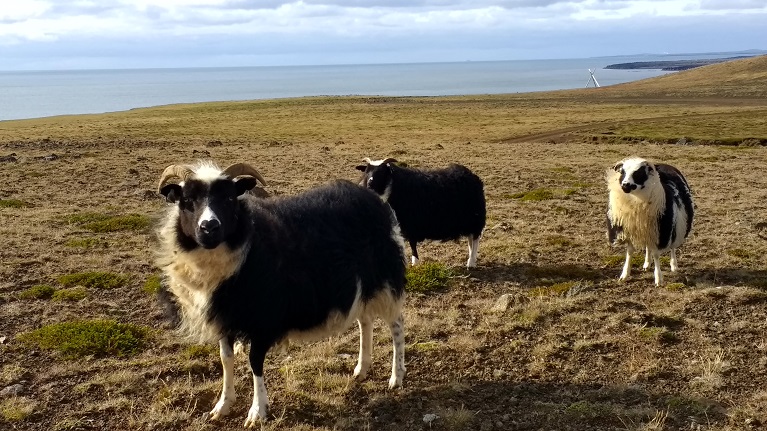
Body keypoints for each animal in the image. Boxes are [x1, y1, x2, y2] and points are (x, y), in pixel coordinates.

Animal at [155, 162, 408, 428]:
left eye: (230, 197)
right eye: (186, 200)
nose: (209, 228)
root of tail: (375, 200)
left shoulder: (264, 320)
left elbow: (255, 362)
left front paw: (257, 412)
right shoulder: (224, 319)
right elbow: (226, 359)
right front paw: (222, 405)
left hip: (386, 282)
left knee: (396, 325)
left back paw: (396, 377)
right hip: (362, 287)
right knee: (365, 321)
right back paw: (361, 368)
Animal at [356, 157, 486, 268]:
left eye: (382, 172)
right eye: (366, 171)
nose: (369, 184)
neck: (393, 187)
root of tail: (472, 176)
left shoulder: (411, 225)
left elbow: (413, 244)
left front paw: (415, 263)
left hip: (475, 219)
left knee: (475, 240)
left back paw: (471, 262)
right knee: (471, 240)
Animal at [608, 157, 696, 286]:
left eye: (638, 173)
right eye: (622, 172)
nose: (625, 185)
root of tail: (664, 164)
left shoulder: (661, 231)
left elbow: (656, 254)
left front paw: (658, 278)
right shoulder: (630, 230)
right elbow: (629, 252)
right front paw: (624, 274)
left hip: (673, 225)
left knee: (672, 246)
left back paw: (674, 265)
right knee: (648, 247)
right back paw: (647, 263)